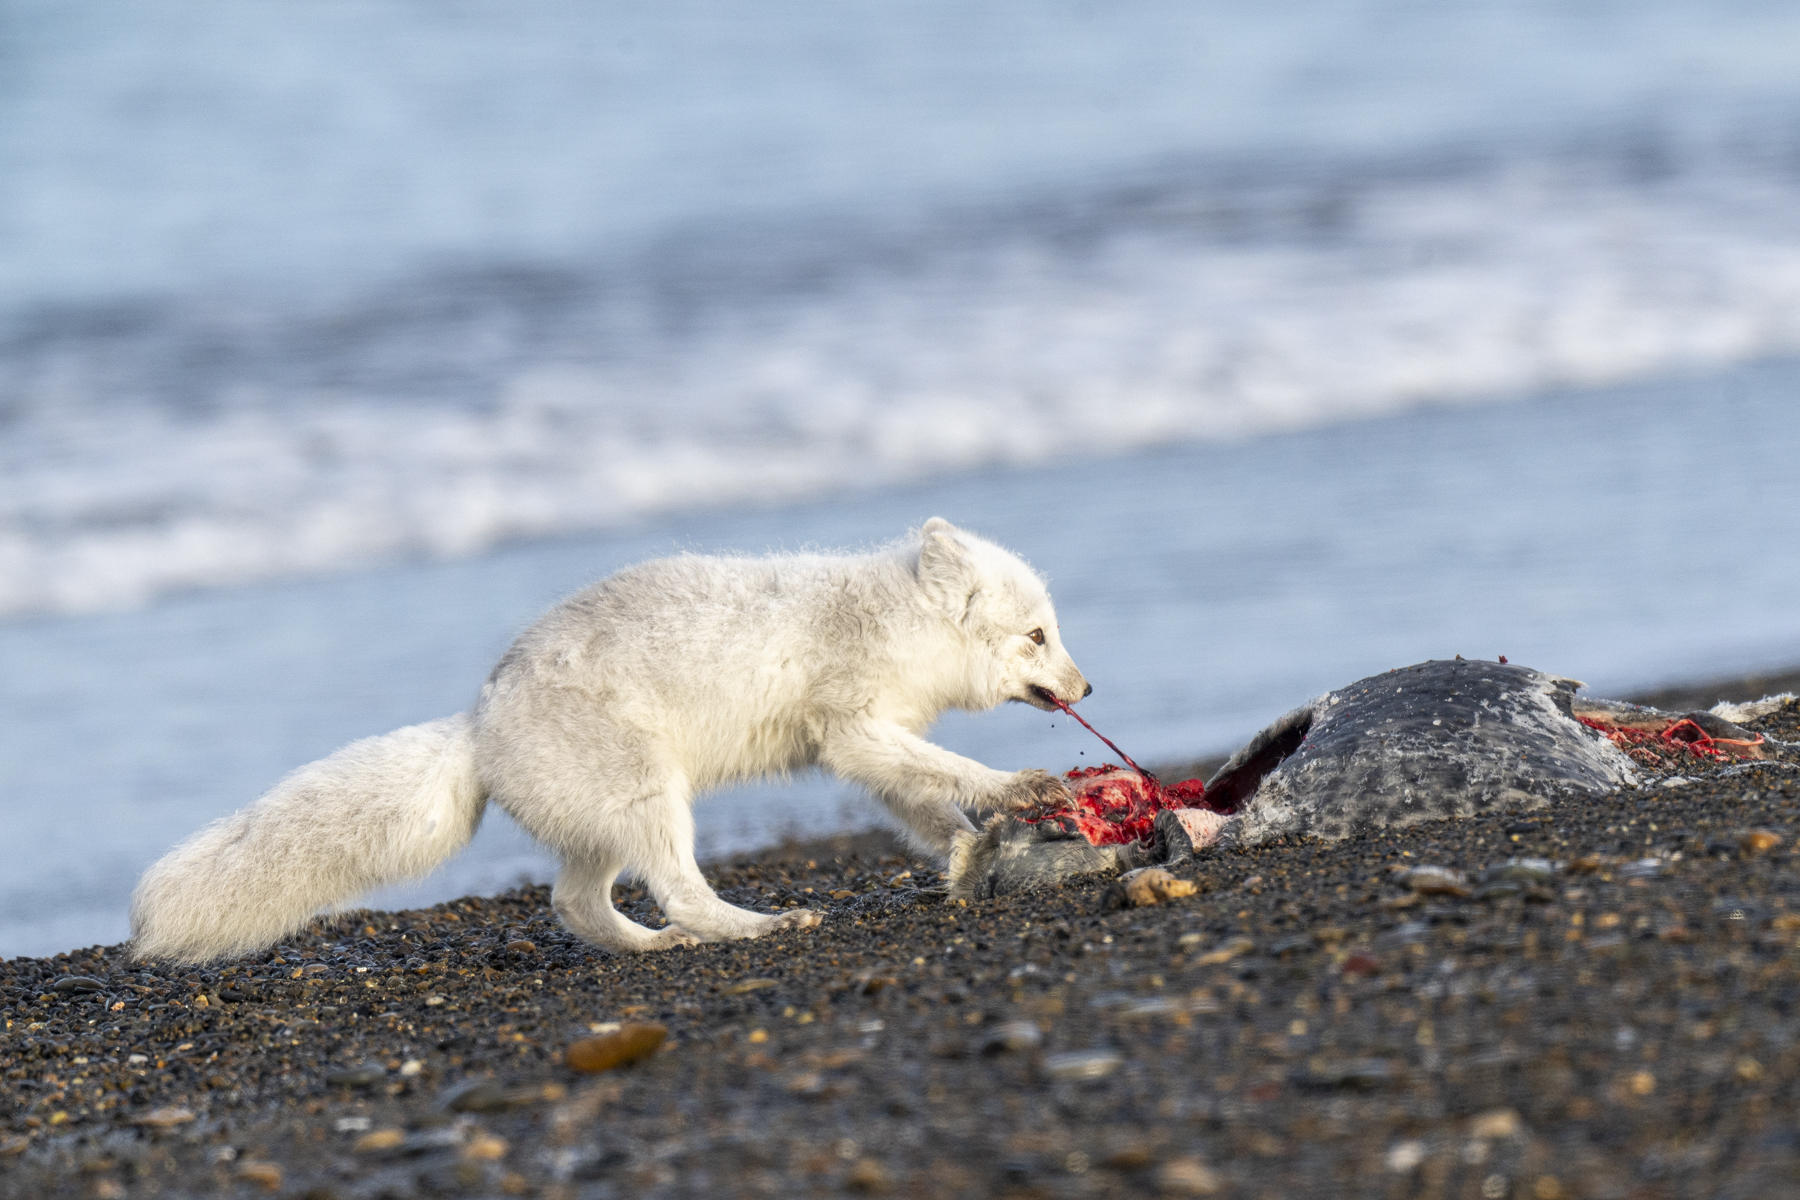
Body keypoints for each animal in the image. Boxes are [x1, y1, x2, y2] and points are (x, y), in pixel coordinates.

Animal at [130, 518, 1091, 963]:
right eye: (1038, 636)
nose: (1088, 690)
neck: (894, 616)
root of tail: (476, 723)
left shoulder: (864, 748)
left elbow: (928, 802)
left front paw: (969, 852)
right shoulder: (855, 727)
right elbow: (957, 769)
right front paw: (1021, 789)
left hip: (602, 821)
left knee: (575, 904)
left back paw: (652, 947)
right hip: (650, 796)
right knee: (680, 893)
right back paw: (759, 925)